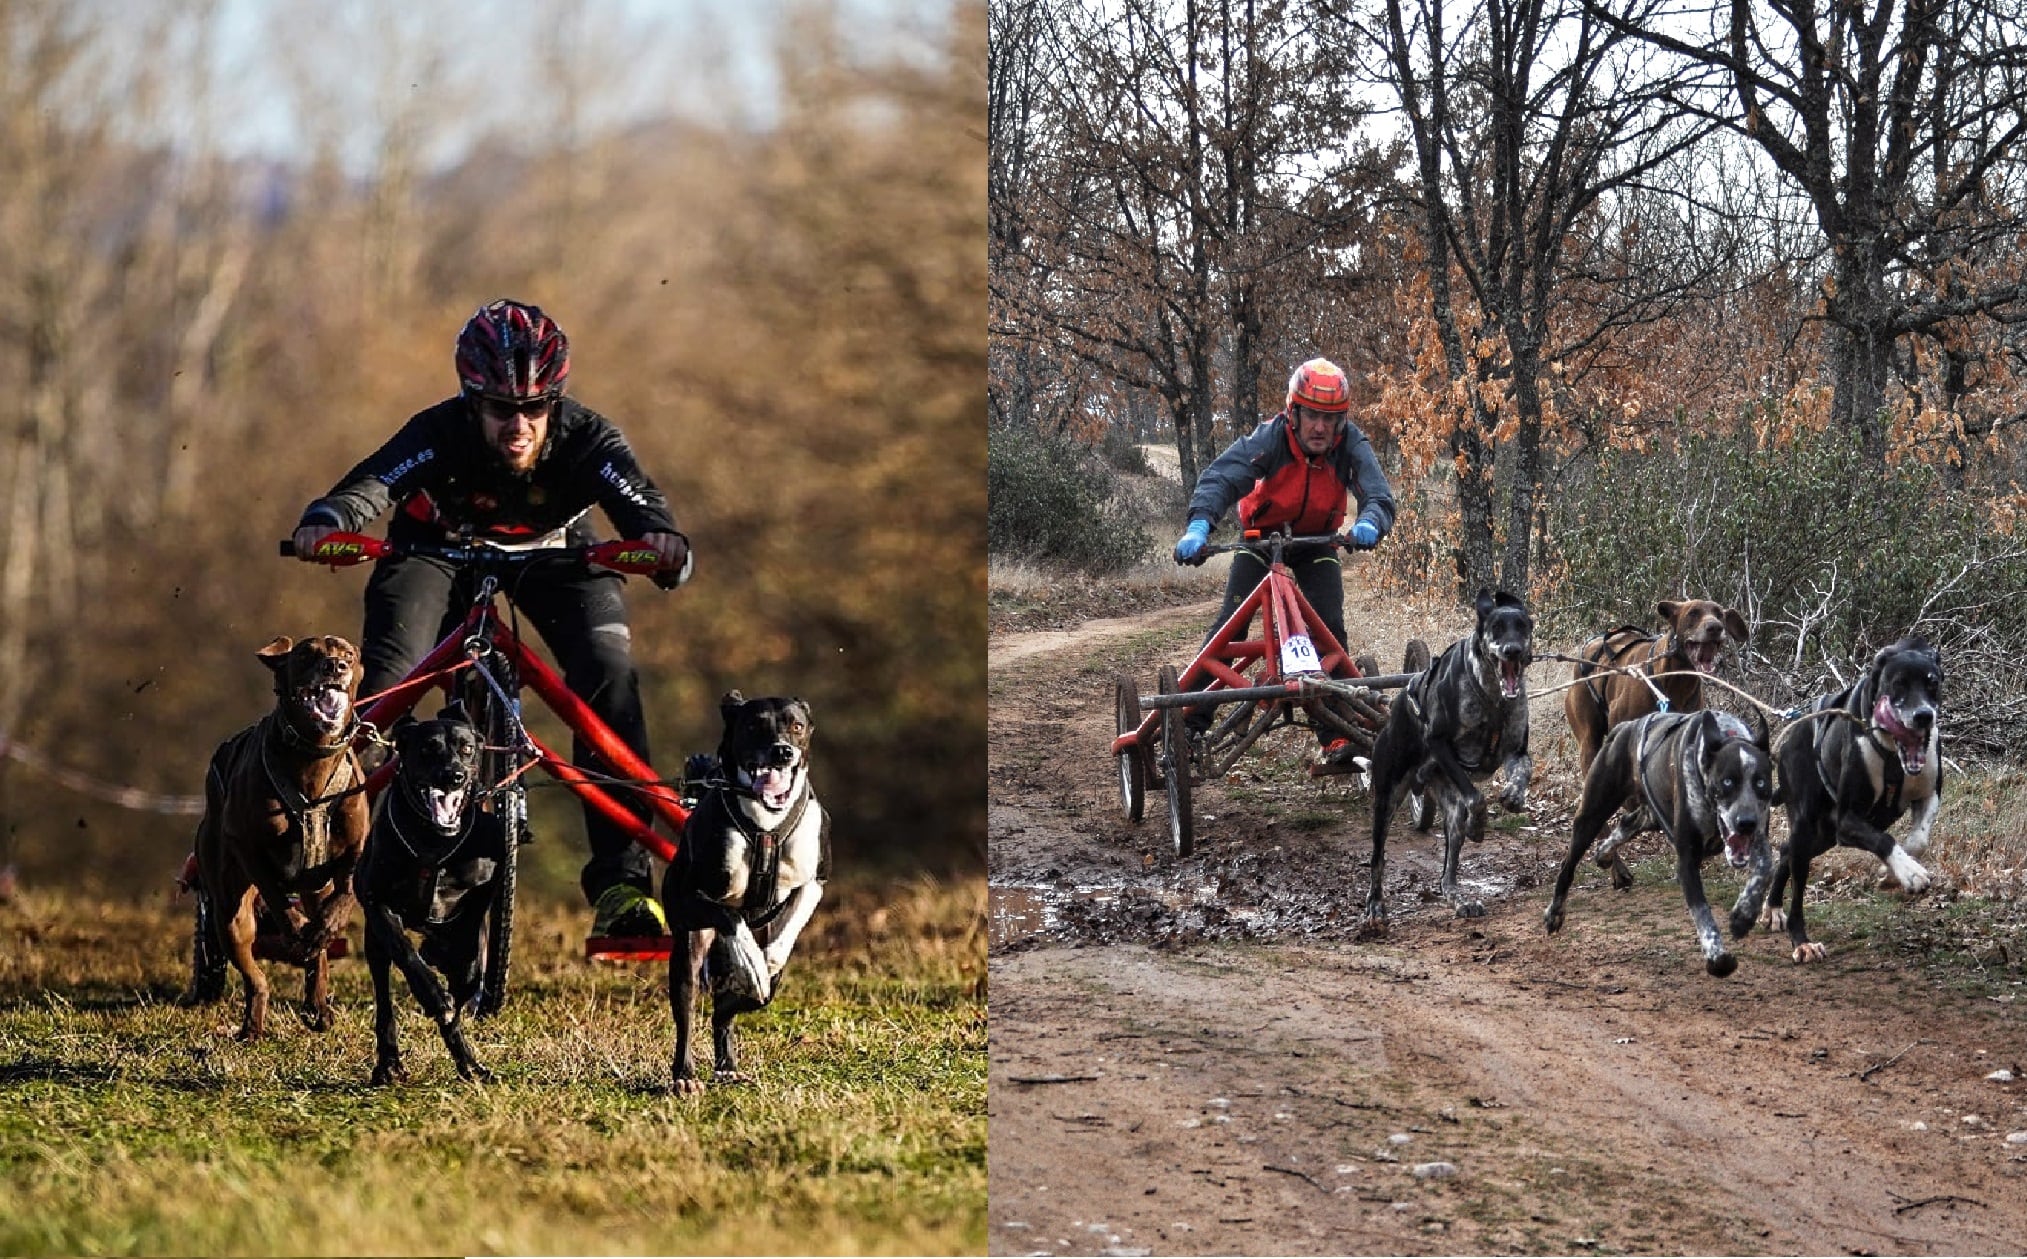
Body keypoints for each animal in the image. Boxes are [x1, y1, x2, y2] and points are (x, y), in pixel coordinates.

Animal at [354, 705, 504, 1078]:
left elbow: (469, 962)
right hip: (373, 945)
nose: (454, 776)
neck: (435, 843)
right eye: (428, 749)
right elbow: (405, 951)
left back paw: (469, 1064)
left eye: (467, 749)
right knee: (385, 1000)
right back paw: (389, 1063)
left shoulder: (484, 885)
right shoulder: (375, 899)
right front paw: (433, 995)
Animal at [660, 693, 827, 1094]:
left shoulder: (815, 881)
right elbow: (729, 914)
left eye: (796, 726)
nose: (782, 751)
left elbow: (791, 921)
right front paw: (751, 961)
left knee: (732, 1008)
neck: (766, 823)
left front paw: (766, 961)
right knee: (689, 1009)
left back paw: (728, 1065)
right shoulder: (691, 897)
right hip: (687, 951)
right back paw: (685, 1076)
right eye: (754, 724)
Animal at [1362, 587, 1532, 932]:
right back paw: (1375, 905)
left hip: (1450, 811)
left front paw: (1513, 796)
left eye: (1523, 626)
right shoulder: (1438, 743)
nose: (1513, 651)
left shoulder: (1515, 751)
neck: (1493, 696)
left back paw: (1460, 898)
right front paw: (1479, 825)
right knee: (1377, 858)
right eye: (1496, 628)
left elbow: (1523, 772)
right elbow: (1477, 797)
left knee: (1446, 874)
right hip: (1387, 798)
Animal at [1548, 705, 1775, 973]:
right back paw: (1555, 912)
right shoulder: (1687, 858)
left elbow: (1765, 868)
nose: (1746, 822)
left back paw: (1604, 854)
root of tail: (1624, 728)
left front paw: (1744, 914)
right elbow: (1702, 912)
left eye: (1760, 782)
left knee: (1627, 823)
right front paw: (1716, 956)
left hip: (1652, 813)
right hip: (1592, 814)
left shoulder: (1758, 839)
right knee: (1568, 865)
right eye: (1727, 781)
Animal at [1767, 636, 1937, 960]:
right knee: (1797, 887)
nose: (1924, 715)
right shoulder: (1848, 821)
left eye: (1932, 682)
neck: (1892, 753)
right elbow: (1885, 839)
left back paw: (1772, 908)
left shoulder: (1929, 795)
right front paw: (1908, 872)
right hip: (1809, 826)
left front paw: (1894, 870)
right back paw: (1801, 940)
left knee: (1784, 851)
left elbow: (1919, 839)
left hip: (1823, 836)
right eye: (1898, 683)